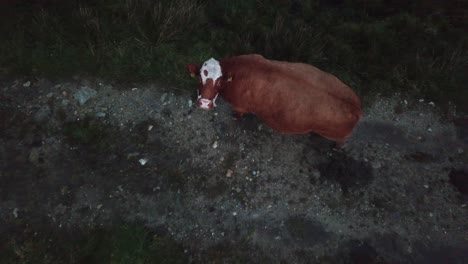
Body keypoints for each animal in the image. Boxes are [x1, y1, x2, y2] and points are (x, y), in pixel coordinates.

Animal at [186, 53, 362, 144]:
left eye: (219, 82)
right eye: (200, 78)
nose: (204, 104)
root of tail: (356, 106)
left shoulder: (240, 106)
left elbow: (238, 114)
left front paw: (235, 117)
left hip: (334, 135)